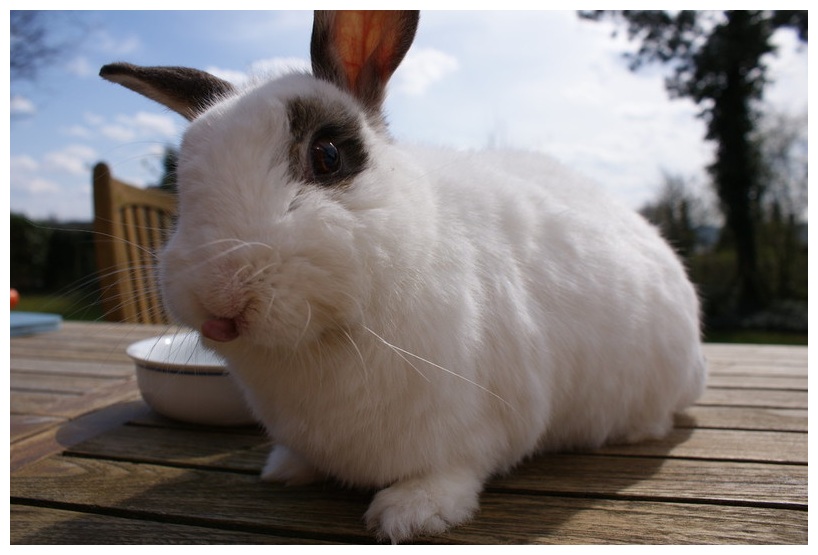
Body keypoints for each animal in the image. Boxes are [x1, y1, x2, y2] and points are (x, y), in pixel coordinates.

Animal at [100, 10, 700, 544]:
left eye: (329, 156)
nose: (219, 301)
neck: (328, 337)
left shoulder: (469, 430)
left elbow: (451, 473)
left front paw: (410, 515)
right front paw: (286, 470)